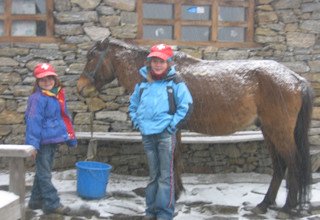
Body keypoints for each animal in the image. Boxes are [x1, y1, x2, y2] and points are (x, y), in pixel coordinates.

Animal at [77, 37, 312, 215]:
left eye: (92, 56)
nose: (81, 87)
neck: (166, 75)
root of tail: (295, 79)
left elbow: (172, 157)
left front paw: (173, 194)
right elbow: (177, 157)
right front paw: (178, 191)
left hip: (278, 131)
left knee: (294, 162)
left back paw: (287, 207)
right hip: (268, 131)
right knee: (279, 166)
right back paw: (264, 204)